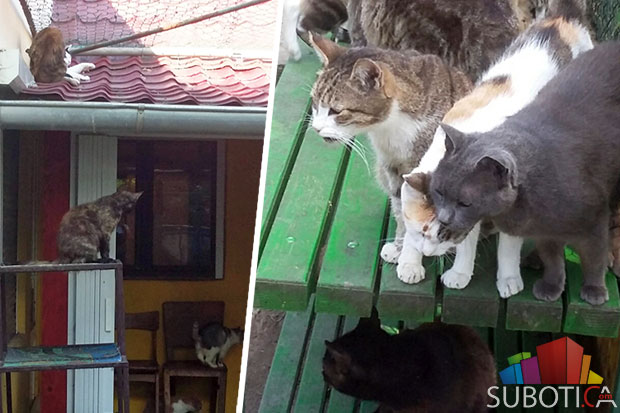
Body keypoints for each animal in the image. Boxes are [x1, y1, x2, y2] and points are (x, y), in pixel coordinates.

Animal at [309, 34, 472, 271]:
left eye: (336, 111)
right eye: (315, 103)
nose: (315, 128)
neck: (390, 128)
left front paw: (410, 262)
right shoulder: (391, 168)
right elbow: (402, 211)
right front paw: (399, 247)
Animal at [396, 0, 594, 289]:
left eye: (445, 234)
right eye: (423, 231)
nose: (428, 253)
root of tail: (563, 18)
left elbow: (508, 244)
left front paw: (509, 279)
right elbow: (467, 241)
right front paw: (458, 273)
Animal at [429, 41, 620, 306]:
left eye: (465, 202)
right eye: (438, 191)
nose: (444, 218)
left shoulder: (594, 222)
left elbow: (594, 258)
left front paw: (594, 290)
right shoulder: (545, 232)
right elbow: (553, 259)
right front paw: (551, 286)